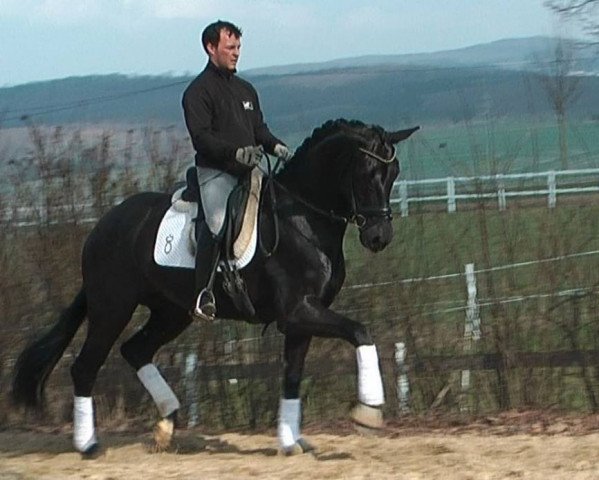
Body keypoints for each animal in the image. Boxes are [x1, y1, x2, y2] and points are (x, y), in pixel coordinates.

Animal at [11, 118, 420, 456]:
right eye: (367, 172)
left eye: (394, 173)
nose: (379, 236)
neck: (302, 219)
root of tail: (101, 227)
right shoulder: (298, 311)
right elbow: (360, 331)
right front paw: (368, 410)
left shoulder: (301, 319)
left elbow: (291, 377)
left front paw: (291, 442)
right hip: (112, 308)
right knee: (85, 367)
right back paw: (89, 444)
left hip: (171, 312)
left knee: (135, 350)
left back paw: (166, 424)